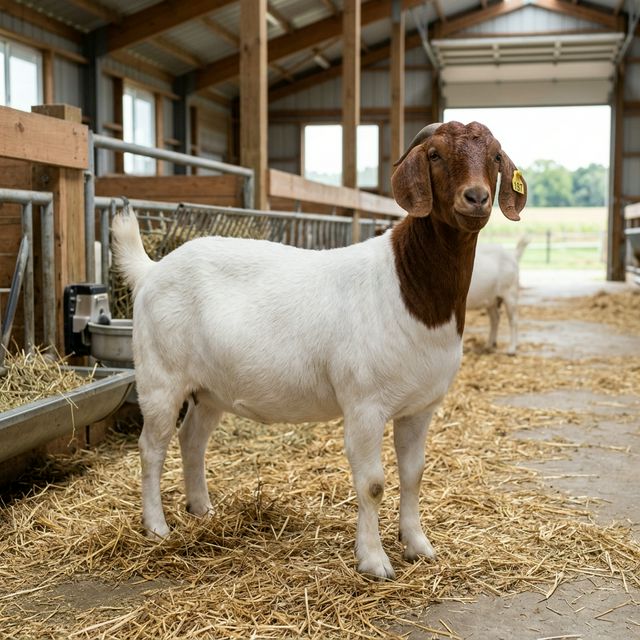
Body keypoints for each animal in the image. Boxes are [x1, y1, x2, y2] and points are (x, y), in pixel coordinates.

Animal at [111, 121, 526, 579]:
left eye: (495, 156)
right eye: (434, 154)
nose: (476, 198)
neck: (409, 286)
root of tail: (151, 270)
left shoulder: (421, 407)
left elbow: (414, 474)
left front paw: (418, 545)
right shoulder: (364, 405)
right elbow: (373, 483)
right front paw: (374, 561)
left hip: (210, 389)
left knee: (192, 440)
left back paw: (202, 509)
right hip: (160, 379)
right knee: (152, 447)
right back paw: (157, 527)